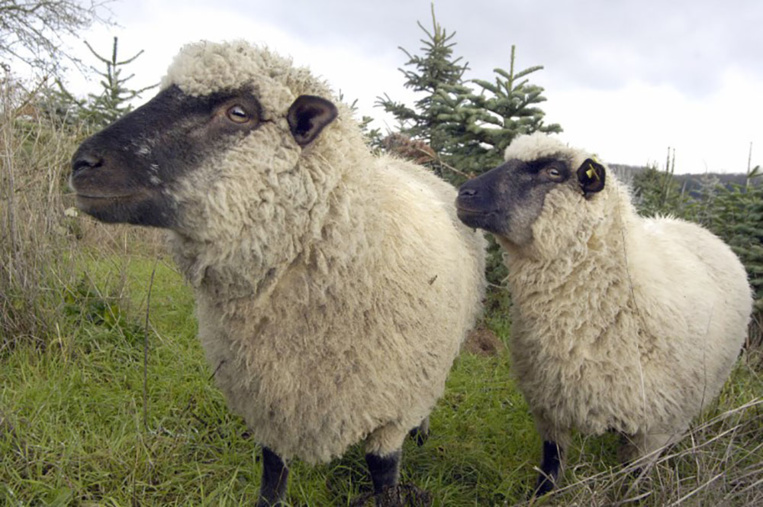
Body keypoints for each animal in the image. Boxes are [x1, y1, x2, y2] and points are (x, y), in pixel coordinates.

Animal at [70, 40, 486, 505]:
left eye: (239, 112)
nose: (82, 163)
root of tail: (410, 164)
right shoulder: (271, 398)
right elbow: (273, 472)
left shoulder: (391, 408)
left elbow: (384, 474)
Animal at [455, 132, 752, 495]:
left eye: (553, 172)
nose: (464, 193)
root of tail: (692, 226)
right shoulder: (550, 404)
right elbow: (551, 464)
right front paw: (539, 496)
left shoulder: (655, 427)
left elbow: (635, 482)